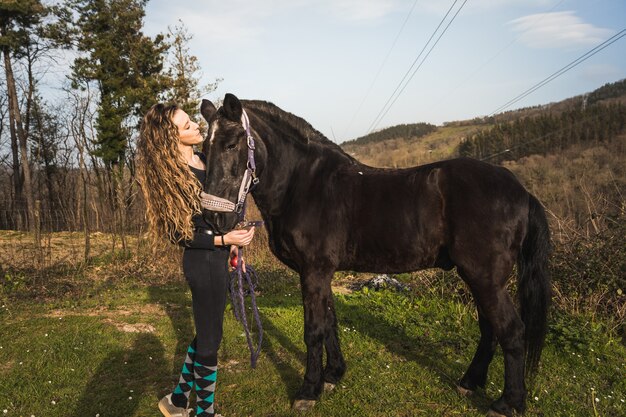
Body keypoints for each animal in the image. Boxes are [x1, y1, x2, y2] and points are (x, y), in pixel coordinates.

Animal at [199, 94, 544, 416]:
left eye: (231, 144)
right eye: (203, 148)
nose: (213, 219)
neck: (302, 185)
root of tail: (521, 191)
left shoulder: (314, 271)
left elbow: (314, 330)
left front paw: (308, 391)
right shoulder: (321, 274)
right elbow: (330, 323)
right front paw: (333, 375)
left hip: (485, 278)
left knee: (512, 331)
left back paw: (508, 403)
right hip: (478, 277)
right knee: (490, 330)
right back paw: (470, 383)